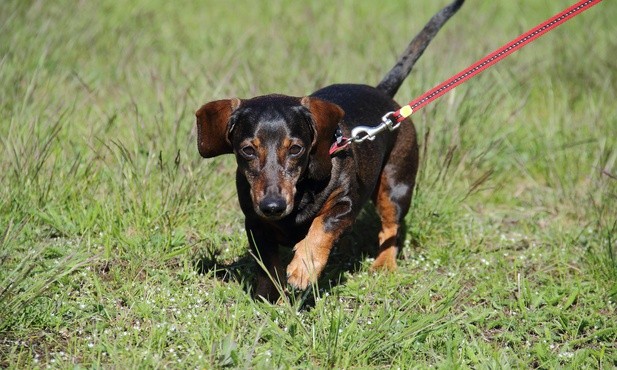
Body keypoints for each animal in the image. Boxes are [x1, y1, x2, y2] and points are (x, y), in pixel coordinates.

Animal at [196, 0, 462, 300]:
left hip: (396, 185)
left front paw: (304, 268)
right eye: (248, 150)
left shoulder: (344, 204)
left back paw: (384, 265)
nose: (272, 206)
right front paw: (269, 297)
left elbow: (320, 227)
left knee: (390, 228)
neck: (302, 191)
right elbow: (268, 264)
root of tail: (384, 96)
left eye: (296, 149)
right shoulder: (255, 223)